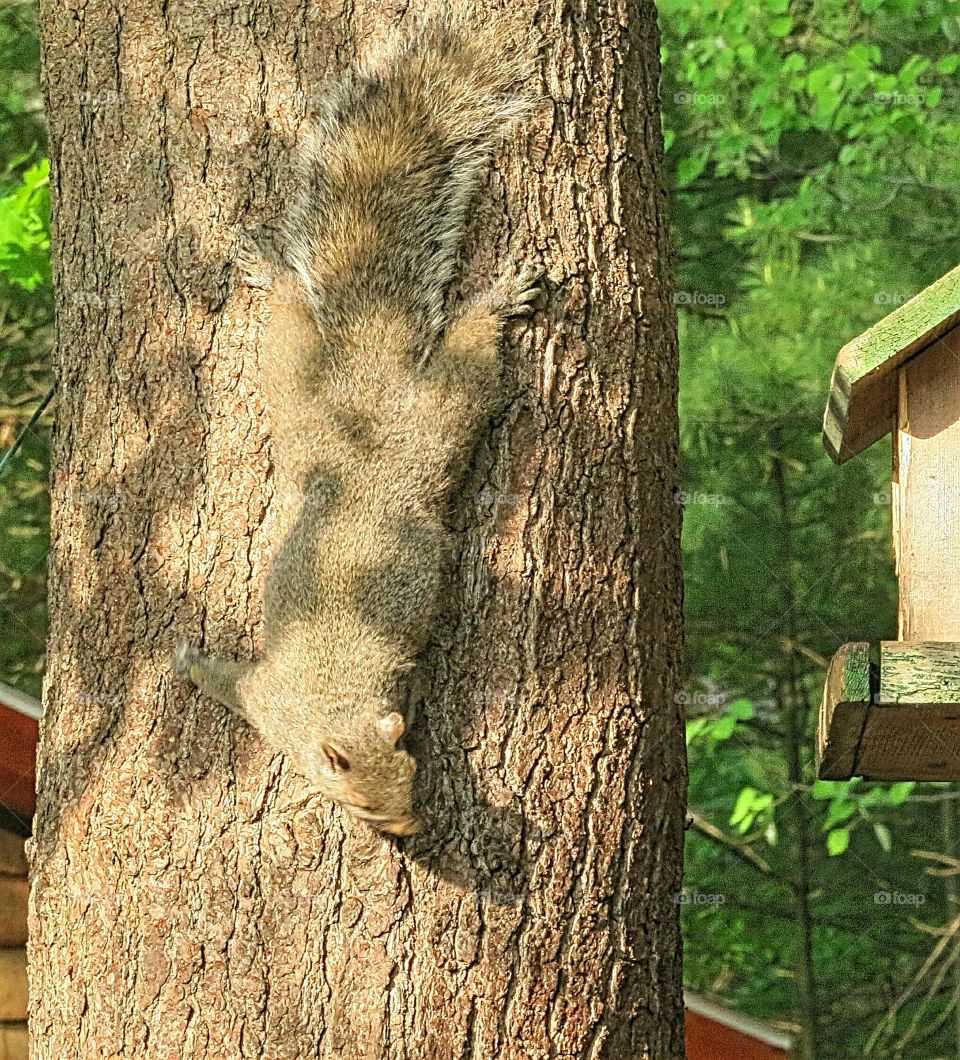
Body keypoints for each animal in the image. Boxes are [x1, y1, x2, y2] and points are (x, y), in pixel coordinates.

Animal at [173, 4, 541, 836]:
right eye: (367, 803)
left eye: (410, 773)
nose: (407, 831)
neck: (334, 699)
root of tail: (369, 382)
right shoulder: (267, 700)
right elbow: (231, 686)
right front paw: (191, 665)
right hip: (313, 382)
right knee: (297, 307)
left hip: (413, 404)